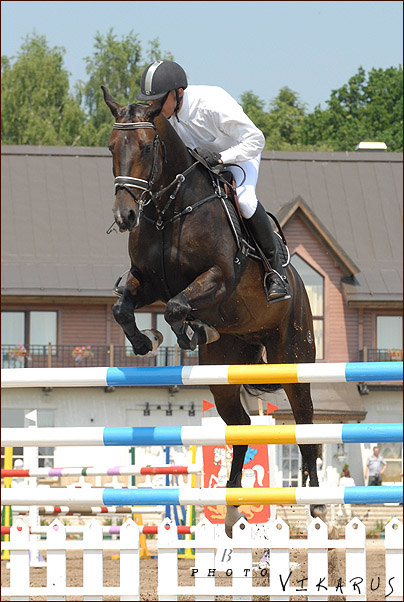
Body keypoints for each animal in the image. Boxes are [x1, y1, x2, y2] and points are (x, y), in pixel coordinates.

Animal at [102, 85, 326, 536]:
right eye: (112, 146)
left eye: (148, 146)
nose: (125, 215)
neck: (169, 209)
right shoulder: (146, 281)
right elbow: (122, 306)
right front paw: (147, 341)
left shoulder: (219, 278)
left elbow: (176, 306)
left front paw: (191, 330)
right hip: (225, 373)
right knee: (240, 427)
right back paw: (234, 505)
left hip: (293, 360)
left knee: (306, 425)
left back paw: (314, 505)